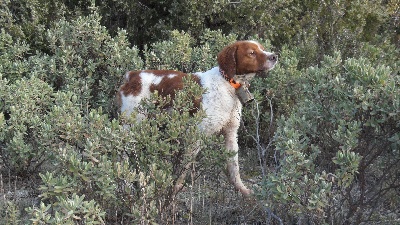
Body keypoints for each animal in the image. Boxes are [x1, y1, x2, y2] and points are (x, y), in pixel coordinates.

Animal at [117, 40, 276, 197]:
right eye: (251, 52)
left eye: (262, 48)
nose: (274, 56)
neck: (228, 85)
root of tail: (132, 75)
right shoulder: (196, 135)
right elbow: (183, 169)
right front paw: (174, 190)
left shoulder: (231, 133)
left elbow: (234, 168)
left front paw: (243, 191)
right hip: (131, 126)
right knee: (123, 155)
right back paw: (126, 185)